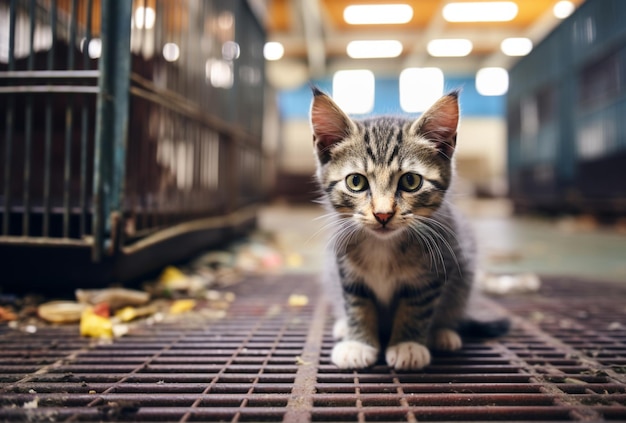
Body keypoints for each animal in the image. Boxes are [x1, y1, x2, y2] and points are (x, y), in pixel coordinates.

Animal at [310, 88, 504, 370]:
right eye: (356, 182)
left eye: (411, 181)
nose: (382, 214)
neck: (383, 245)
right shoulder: (346, 270)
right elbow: (357, 303)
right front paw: (359, 342)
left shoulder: (436, 269)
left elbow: (417, 308)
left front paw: (408, 345)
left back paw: (443, 333)